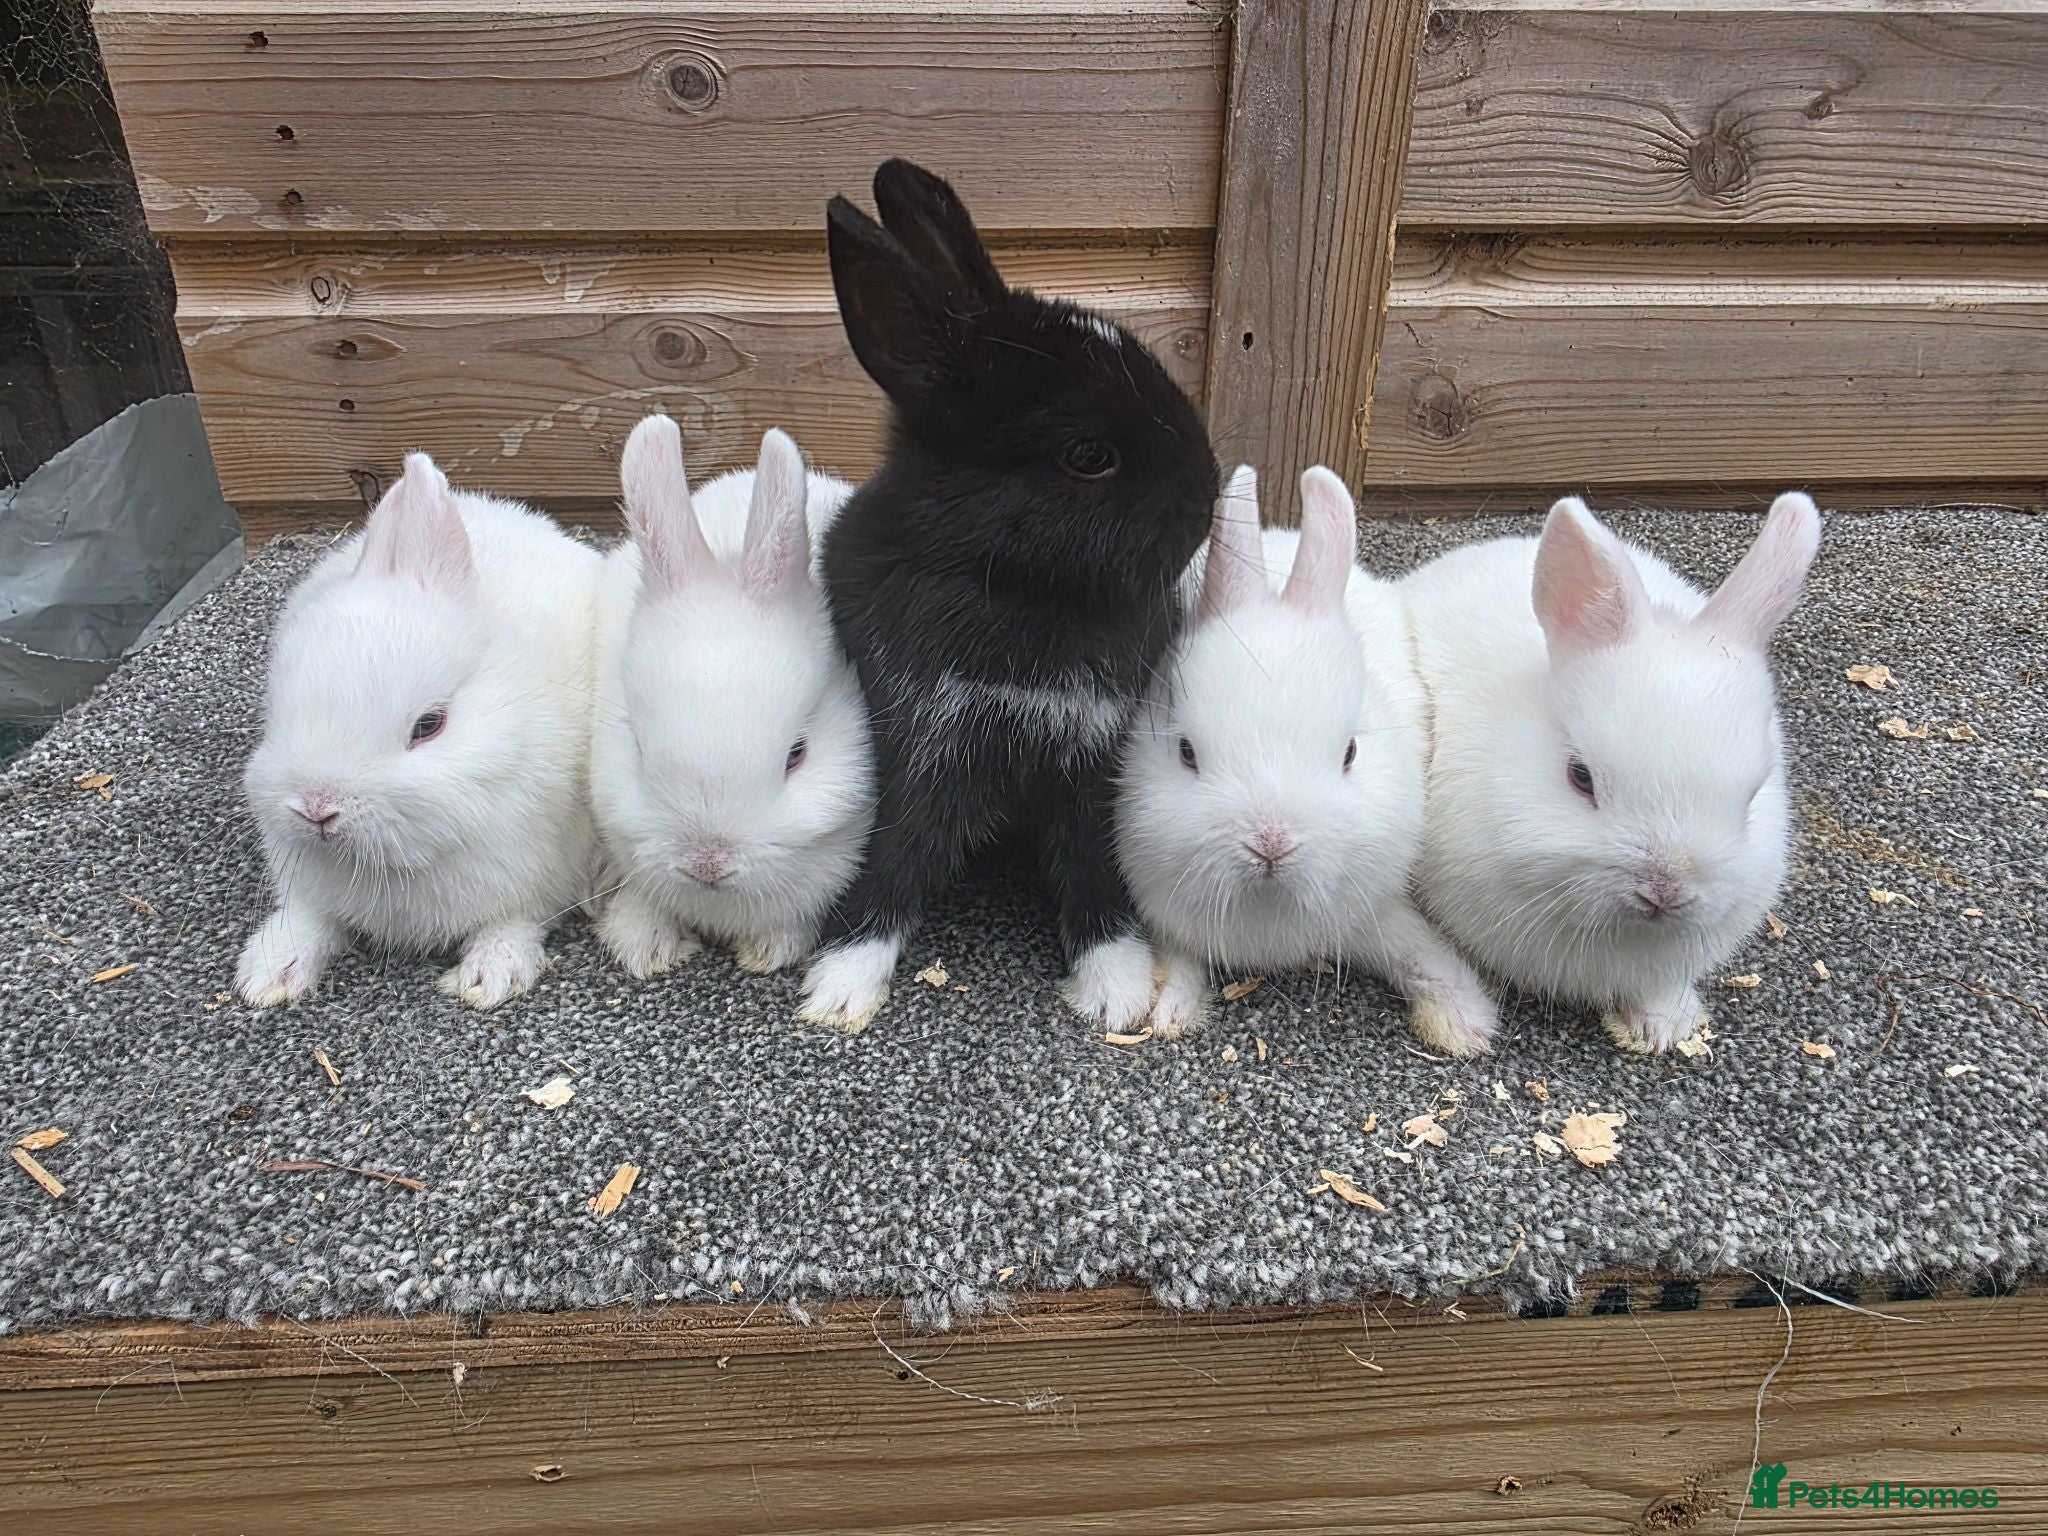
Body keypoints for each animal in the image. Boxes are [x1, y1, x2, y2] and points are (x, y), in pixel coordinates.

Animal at [237, 452, 603, 1010]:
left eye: (429, 725)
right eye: (279, 706)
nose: (316, 809)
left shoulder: (540, 871)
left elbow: (514, 921)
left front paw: (491, 976)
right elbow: (309, 918)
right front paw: (267, 974)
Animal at [797, 157, 1219, 1035]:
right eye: (1088, 456)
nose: (1209, 493)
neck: (1026, 598)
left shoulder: (1091, 759)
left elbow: (1093, 867)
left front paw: (1116, 985)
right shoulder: (920, 745)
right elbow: (896, 857)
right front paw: (841, 985)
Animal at [1117, 464, 1500, 1054]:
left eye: (1351, 752)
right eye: (1185, 752)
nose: (1271, 845)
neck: (1268, 903)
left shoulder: (1374, 908)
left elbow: (1418, 953)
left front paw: (1467, 1027)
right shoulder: (1168, 913)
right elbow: (1180, 963)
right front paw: (1170, 1012)